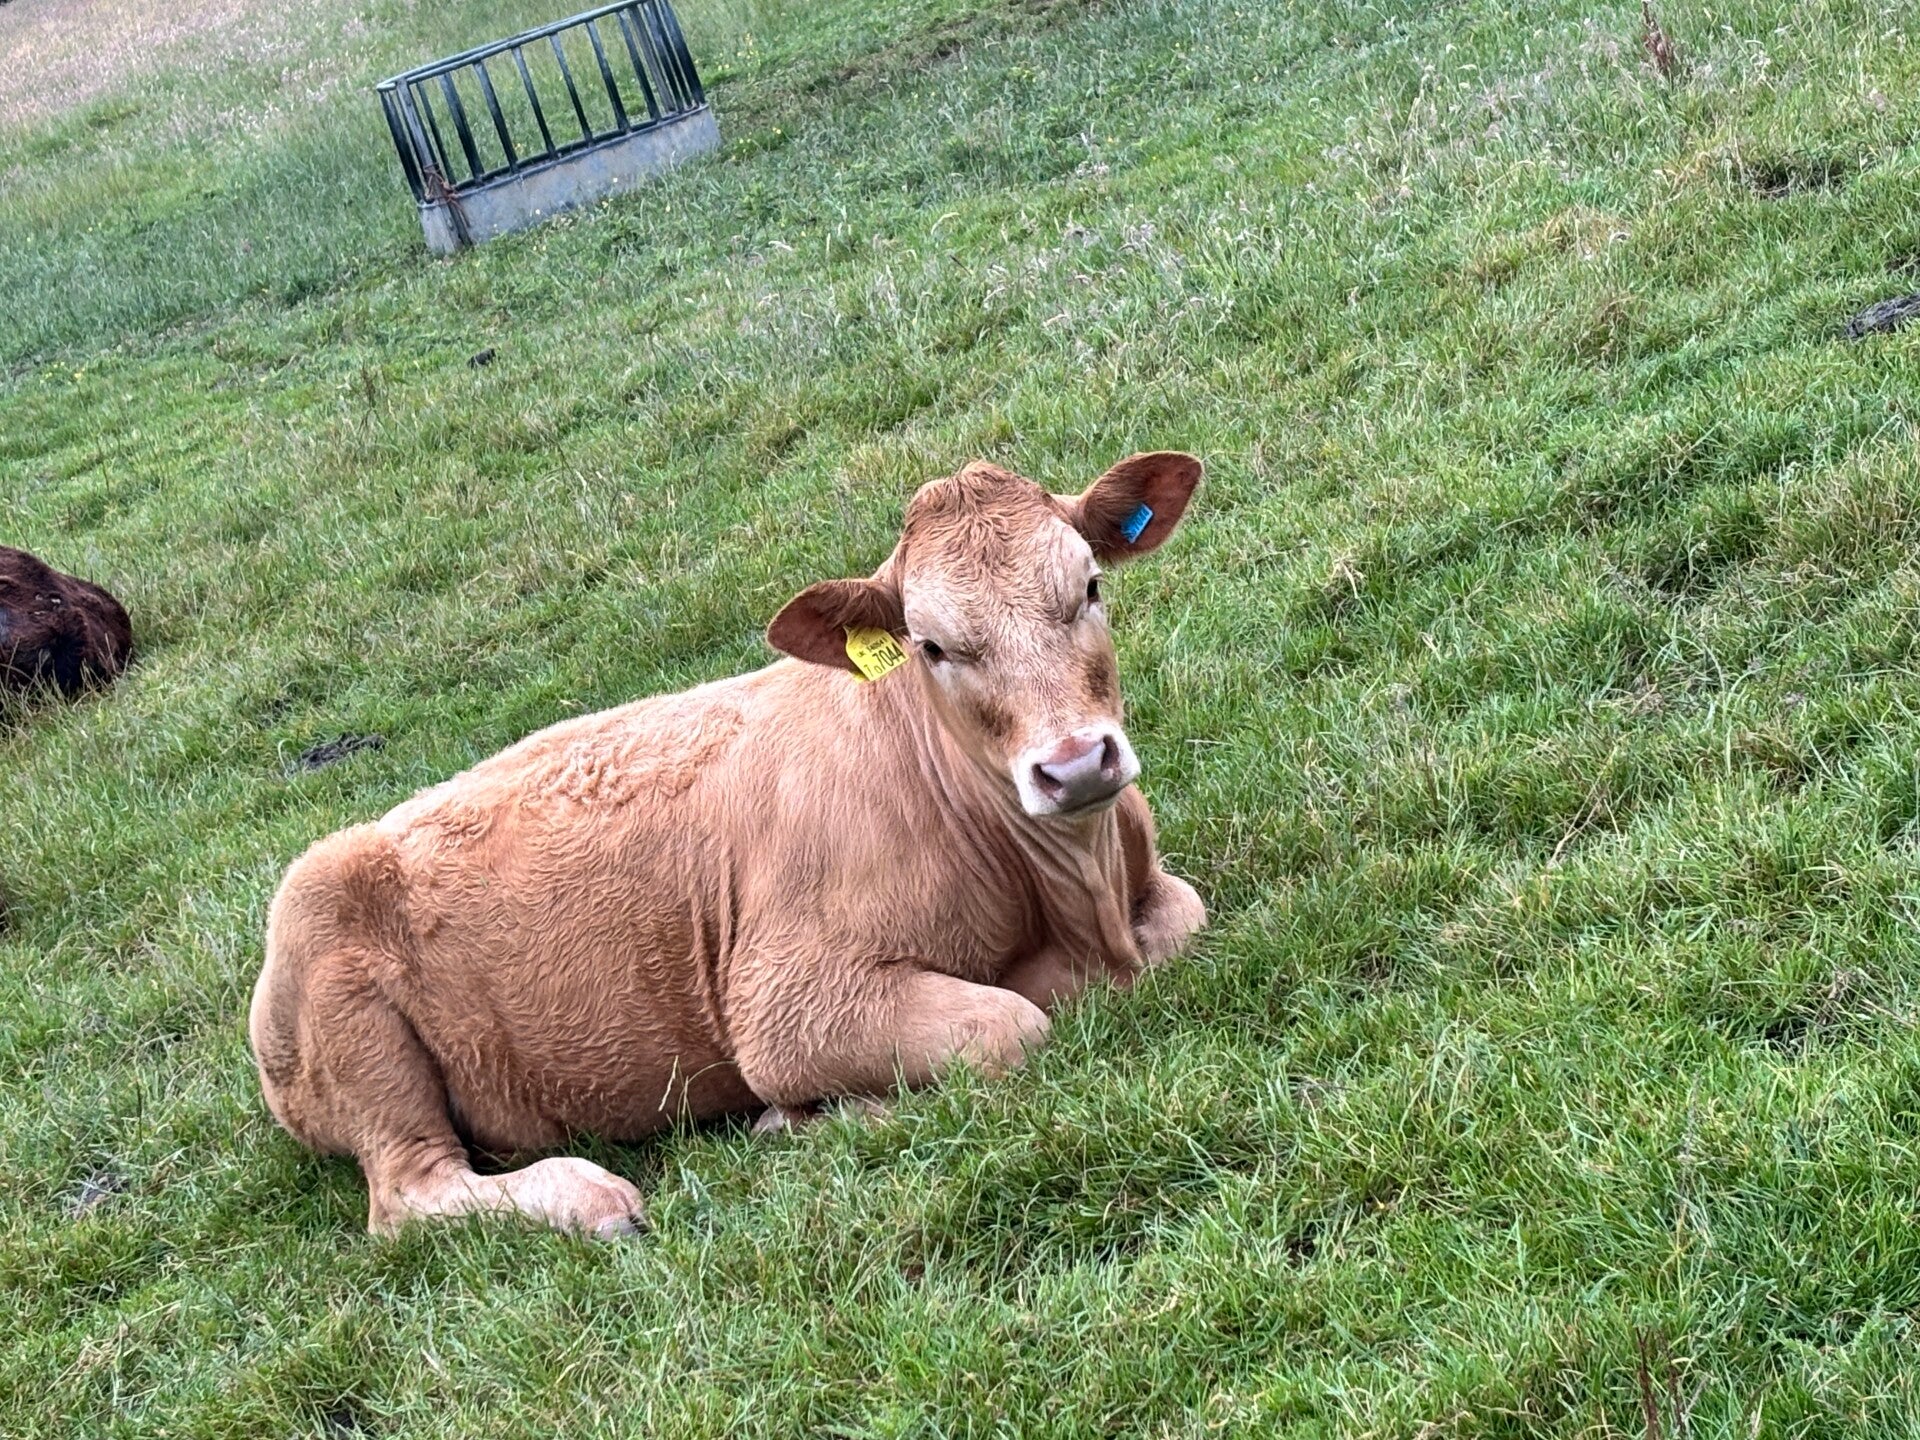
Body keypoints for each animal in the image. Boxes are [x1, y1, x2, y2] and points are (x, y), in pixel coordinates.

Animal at [249, 452, 1208, 1237]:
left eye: (1090, 587)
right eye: (934, 647)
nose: (1075, 764)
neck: (1081, 903)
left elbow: (1184, 918)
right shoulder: (785, 1004)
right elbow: (1011, 1025)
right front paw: (807, 1117)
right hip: (349, 1011)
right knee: (407, 1195)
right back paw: (589, 1199)